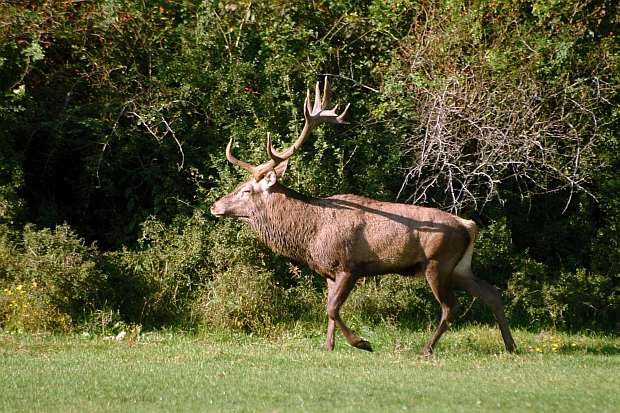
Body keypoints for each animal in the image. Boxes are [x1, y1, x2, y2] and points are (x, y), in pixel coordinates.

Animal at [211, 78, 516, 354]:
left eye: (245, 190)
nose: (215, 206)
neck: (309, 234)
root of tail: (469, 225)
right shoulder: (329, 271)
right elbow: (328, 309)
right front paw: (328, 347)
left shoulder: (349, 265)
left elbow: (332, 309)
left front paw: (362, 343)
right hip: (460, 267)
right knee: (491, 292)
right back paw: (510, 345)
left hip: (437, 263)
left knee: (451, 306)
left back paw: (427, 348)